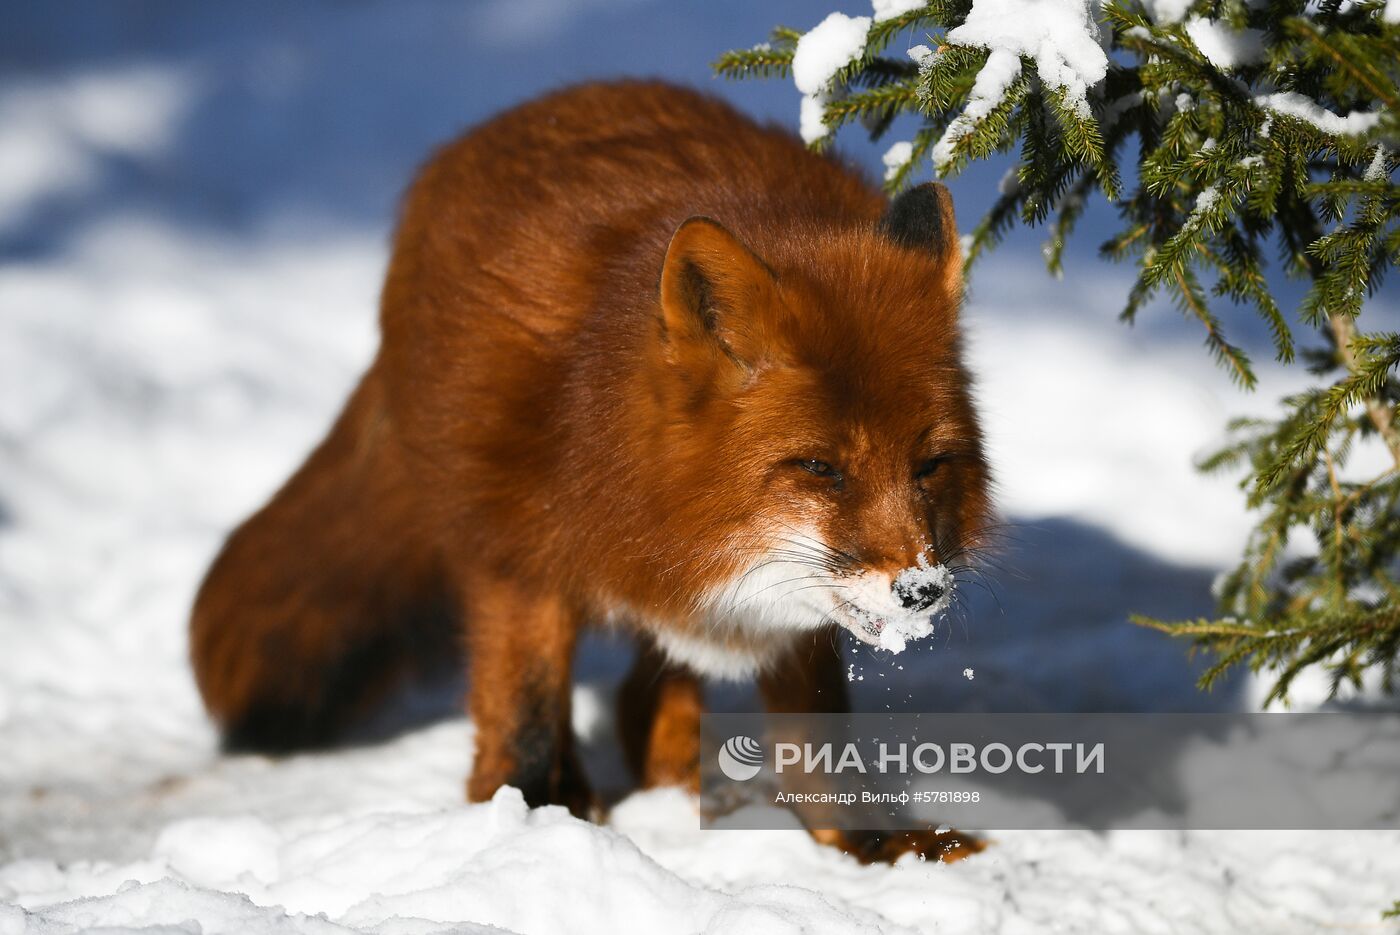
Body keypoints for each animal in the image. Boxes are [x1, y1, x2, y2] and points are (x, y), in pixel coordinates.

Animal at [191, 80, 991, 862]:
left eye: (930, 465)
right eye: (821, 467)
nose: (922, 589)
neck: (591, 422)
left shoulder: (785, 616)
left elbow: (817, 742)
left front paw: (866, 846)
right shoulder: (515, 555)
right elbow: (522, 721)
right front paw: (527, 823)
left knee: (646, 704)